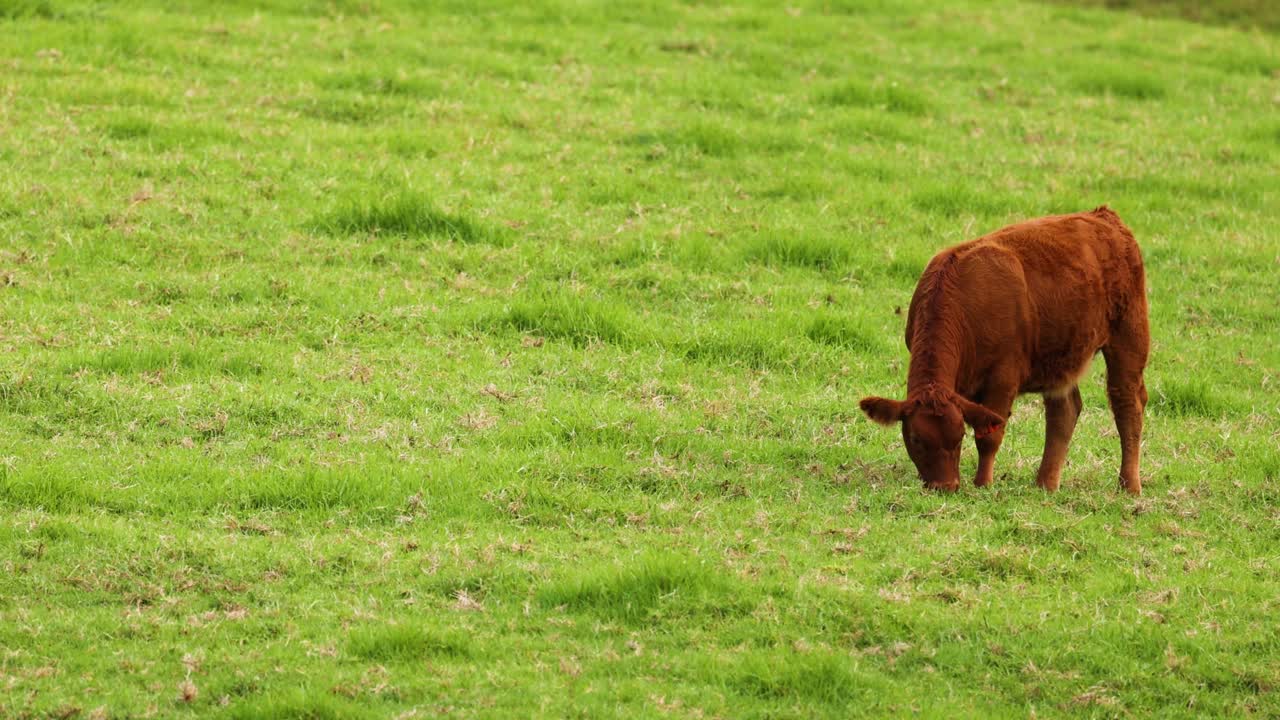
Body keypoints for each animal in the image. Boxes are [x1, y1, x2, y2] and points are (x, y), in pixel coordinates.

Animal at [860, 204, 1152, 489]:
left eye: (959, 437)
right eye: (916, 439)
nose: (946, 485)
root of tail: (1103, 216)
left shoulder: (1004, 377)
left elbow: (989, 436)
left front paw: (983, 484)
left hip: (1129, 335)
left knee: (1127, 405)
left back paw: (1129, 485)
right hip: (1062, 355)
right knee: (1064, 412)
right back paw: (1045, 483)